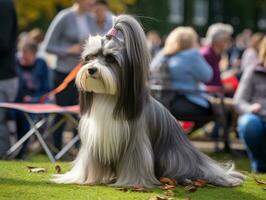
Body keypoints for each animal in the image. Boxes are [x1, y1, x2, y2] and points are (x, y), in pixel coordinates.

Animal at [52, 14, 245, 188]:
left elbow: (135, 161)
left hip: (173, 157)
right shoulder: (95, 138)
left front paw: (133, 183)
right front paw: (80, 179)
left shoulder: (135, 140)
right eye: (90, 57)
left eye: (110, 59)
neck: (108, 96)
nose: (91, 69)